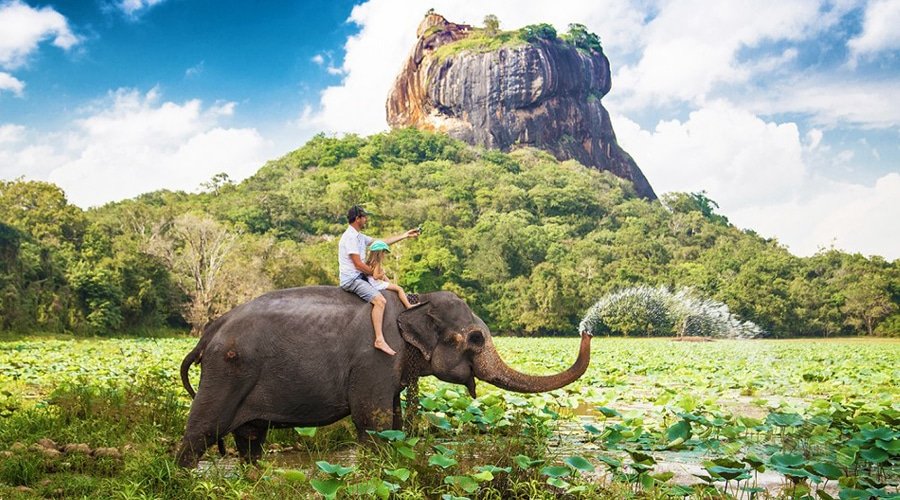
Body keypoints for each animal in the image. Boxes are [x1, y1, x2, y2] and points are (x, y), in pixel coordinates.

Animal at [178, 288, 596, 466]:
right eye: (476, 338)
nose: (587, 330)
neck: (413, 301)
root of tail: (209, 332)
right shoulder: (376, 360)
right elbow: (374, 422)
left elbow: (392, 422)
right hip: (226, 372)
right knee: (201, 431)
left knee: (250, 439)